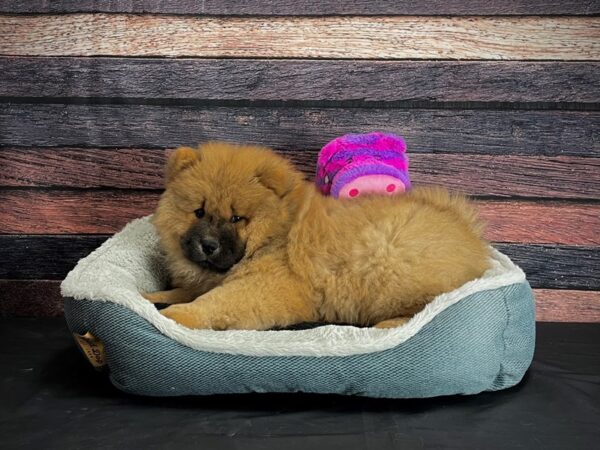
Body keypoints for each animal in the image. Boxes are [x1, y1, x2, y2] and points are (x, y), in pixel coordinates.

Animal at [143, 142, 490, 328]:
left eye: (237, 218)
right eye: (199, 212)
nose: (209, 245)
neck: (274, 235)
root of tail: (470, 233)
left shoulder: (265, 286)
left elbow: (214, 302)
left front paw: (176, 315)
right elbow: (183, 291)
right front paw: (151, 299)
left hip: (389, 264)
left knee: (427, 306)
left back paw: (389, 325)